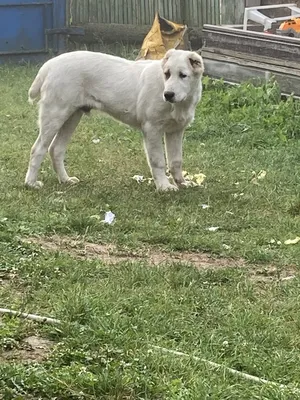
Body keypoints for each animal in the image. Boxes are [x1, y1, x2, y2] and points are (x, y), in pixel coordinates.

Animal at [25, 48, 204, 192]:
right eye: (167, 74)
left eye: (183, 75)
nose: (168, 95)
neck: (180, 103)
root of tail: (50, 64)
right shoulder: (152, 129)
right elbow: (158, 161)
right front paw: (164, 186)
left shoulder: (176, 131)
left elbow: (176, 161)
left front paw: (182, 183)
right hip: (55, 114)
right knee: (38, 149)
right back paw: (31, 183)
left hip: (72, 117)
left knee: (56, 149)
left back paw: (65, 180)